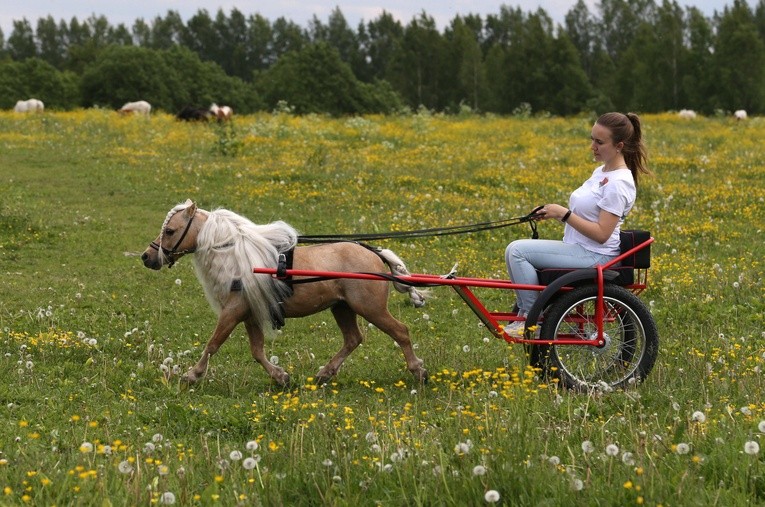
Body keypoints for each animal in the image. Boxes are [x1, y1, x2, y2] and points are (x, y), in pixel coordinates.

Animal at [142, 200, 430, 386]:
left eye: (170, 231)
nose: (147, 257)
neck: (235, 256)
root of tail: (373, 253)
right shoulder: (250, 314)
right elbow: (257, 351)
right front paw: (280, 377)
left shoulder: (232, 311)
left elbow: (213, 344)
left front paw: (193, 374)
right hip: (342, 307)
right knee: (353, 339)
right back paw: (325, 373)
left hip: (370, 308)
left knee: (400, 332)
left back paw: (418, 371)